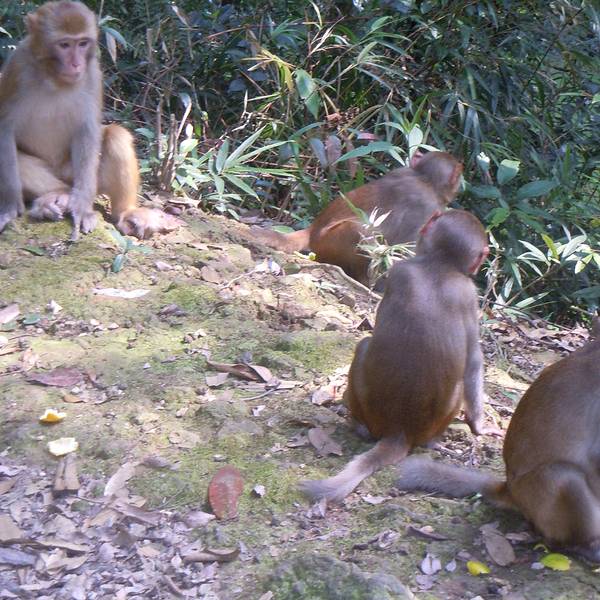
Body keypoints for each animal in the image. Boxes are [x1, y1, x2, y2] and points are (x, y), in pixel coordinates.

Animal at [0, 1, 178, 240]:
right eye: (64, 45)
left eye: (83, 43)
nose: (76, 64)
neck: (53, 77)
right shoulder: (17, 65)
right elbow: (5, 128)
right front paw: (10, 207)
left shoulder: (93, 73)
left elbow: (87, 131)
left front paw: (82, 209)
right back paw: (55, 197)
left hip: (84, 177)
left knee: (116, 136)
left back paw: (124, 212)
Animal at [252, 151, 463, 285]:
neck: (424, 179)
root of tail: (312, 230)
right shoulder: (427, 207)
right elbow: (408, 250)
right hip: (328, 243)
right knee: (360, 232)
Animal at [299, 209, 499, 502]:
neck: (440, 265)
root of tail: (400, 430)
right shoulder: (465, 292)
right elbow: (473, 361)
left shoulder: (421, 277)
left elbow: (473, 361)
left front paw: (479, 426)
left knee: (363, 346)